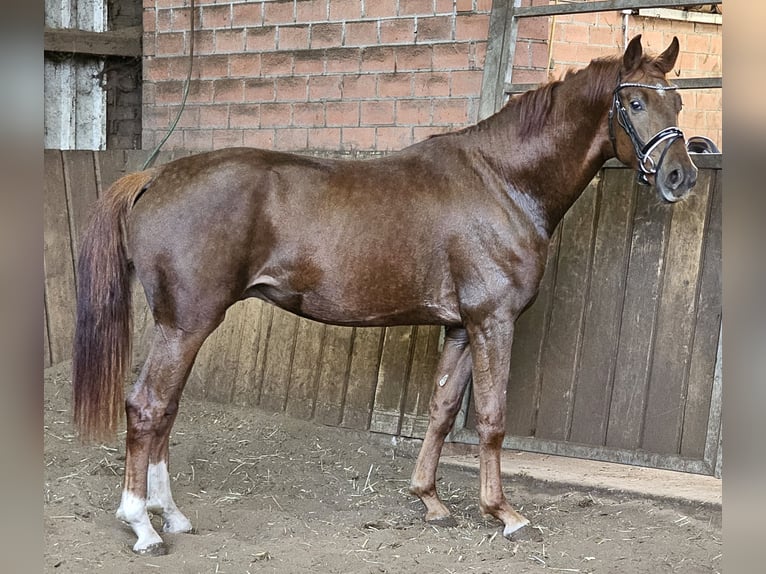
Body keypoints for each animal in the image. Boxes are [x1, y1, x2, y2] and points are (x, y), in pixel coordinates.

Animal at [75, 37, 700, 560]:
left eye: (678, 103)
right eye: (635, 103)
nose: (681, 177)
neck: (502, 181)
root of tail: (154, 176)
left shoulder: (460, 326)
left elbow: (442, 411)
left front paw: (430, 500)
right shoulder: (492, 321)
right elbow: (491, 418)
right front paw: (505, 514)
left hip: (183, 328)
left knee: (166, 410)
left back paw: (170, 514)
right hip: (186, 325)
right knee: (148, 407)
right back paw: (143, 525)